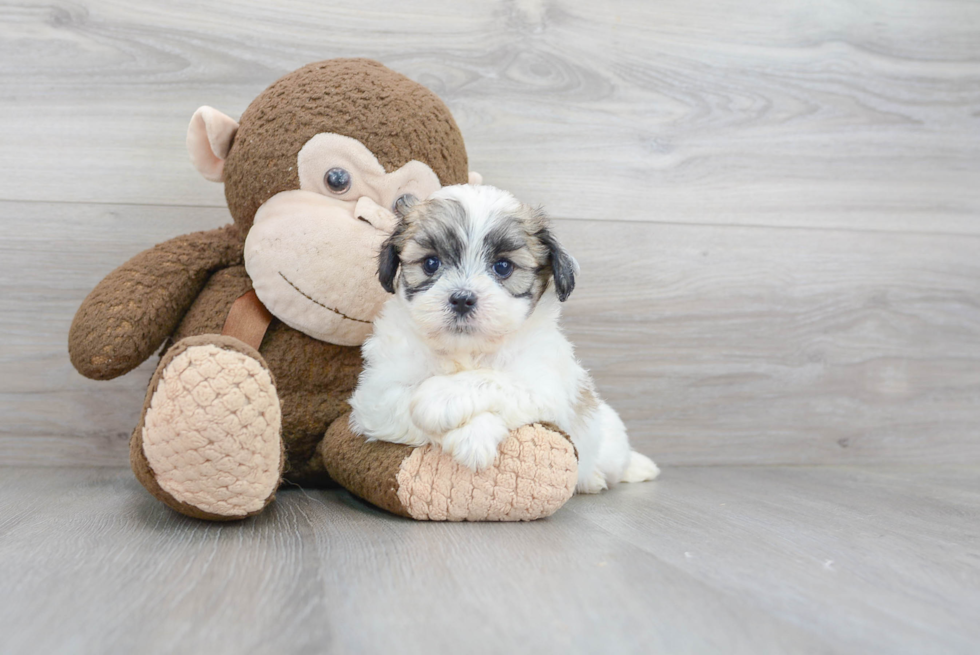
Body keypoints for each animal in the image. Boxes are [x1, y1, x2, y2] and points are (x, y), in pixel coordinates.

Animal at [348, 184, 664, 492]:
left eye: (503, 267)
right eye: (431, 263)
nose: (462, 299)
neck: (467, 351)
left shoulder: (544, 387)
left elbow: (494, 379)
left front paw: (442, 399)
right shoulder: (375, 397)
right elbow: (405, 399)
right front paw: (471, 436)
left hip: (607, 440)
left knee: (616, 460)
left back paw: (624, 470)